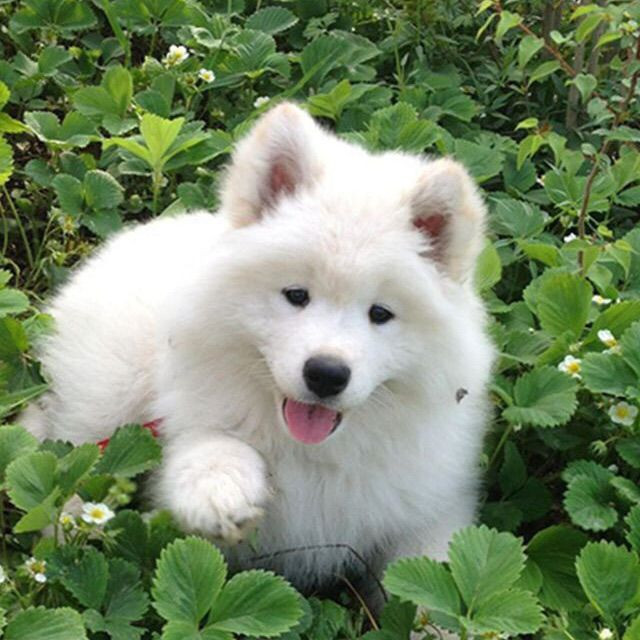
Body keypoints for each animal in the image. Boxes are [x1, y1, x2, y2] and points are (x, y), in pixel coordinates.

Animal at [21, 102, 493, 602]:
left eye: (380, 313)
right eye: (296, 295)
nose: (326, 374)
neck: (314, 451)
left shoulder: (427, 507)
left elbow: (428, 577)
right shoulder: (189, 415)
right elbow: (206, 446)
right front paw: (222, 489)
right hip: (109, 390)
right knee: (72, 461)